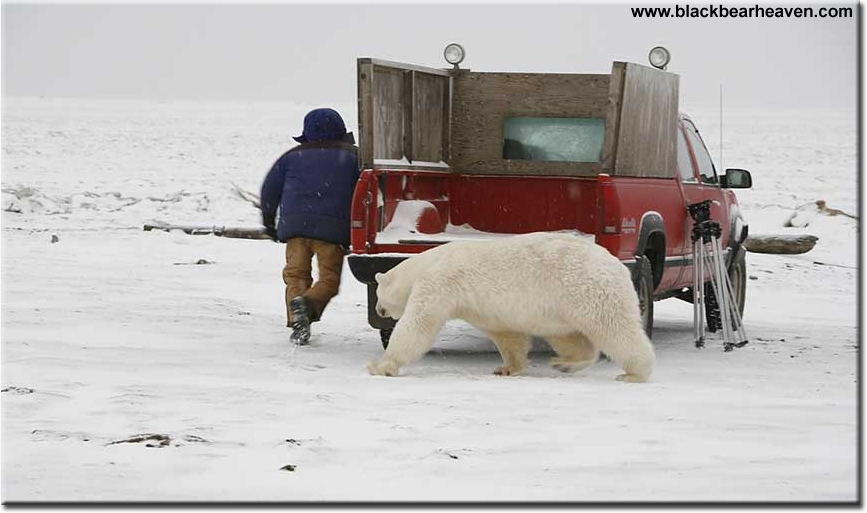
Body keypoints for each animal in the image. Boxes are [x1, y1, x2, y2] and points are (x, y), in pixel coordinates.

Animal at [366, 232, 656, 380]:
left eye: (379, 294)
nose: (379, 310)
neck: (426, 264)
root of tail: (617, 265)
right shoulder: (484, 309)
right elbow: (507, 335)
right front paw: (506, 368)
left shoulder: (440, 283)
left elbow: (418, 324)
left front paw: (380, 366)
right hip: (560, 306)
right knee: (568, 336)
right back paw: (565, 363)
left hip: (586, 290)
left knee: (615, 330)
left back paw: (634, 373)